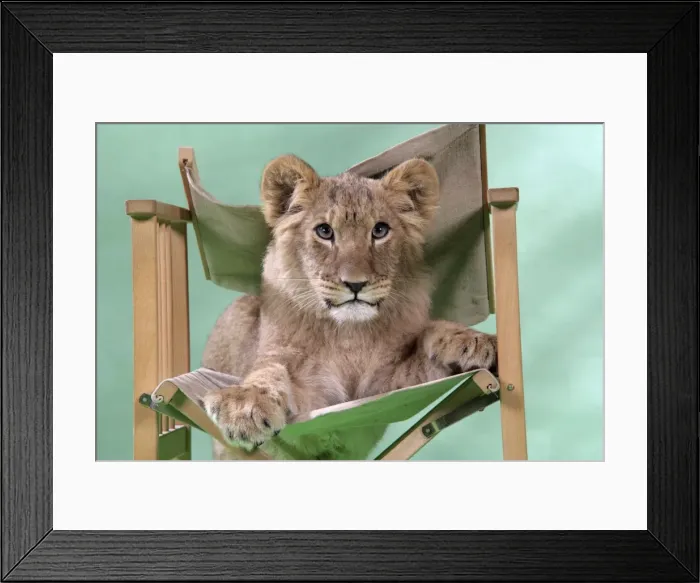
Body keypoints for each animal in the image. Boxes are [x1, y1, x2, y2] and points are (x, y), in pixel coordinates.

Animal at [200, 154, 498, 460]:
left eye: (380, 230)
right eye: (324, 231)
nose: (355, 284)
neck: (349, 335)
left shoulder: (383, 387)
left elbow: (431, 338)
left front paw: (473, 341)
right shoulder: (315, 398)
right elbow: (270, 372)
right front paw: (244, 406)